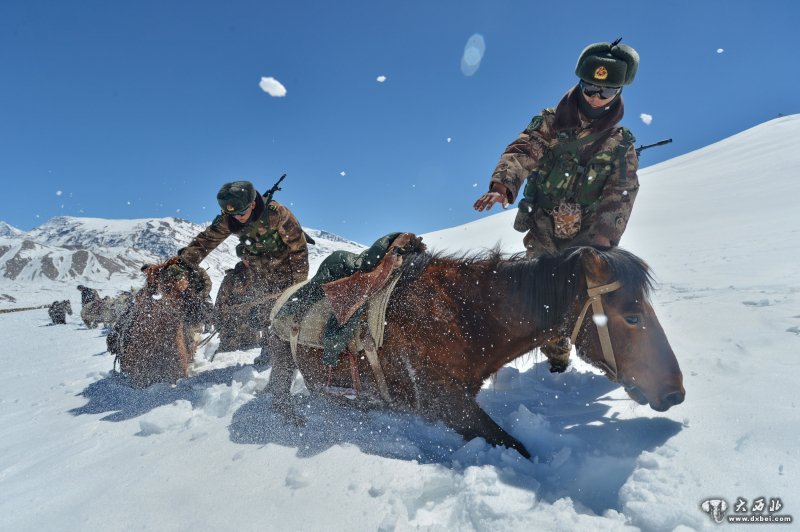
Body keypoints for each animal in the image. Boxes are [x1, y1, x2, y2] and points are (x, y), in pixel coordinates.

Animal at [268, 245, 680, 458]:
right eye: (631, 316)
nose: (674, 391)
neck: (465, 316)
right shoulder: (443, 401)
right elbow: (516, 446)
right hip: (283, 359)